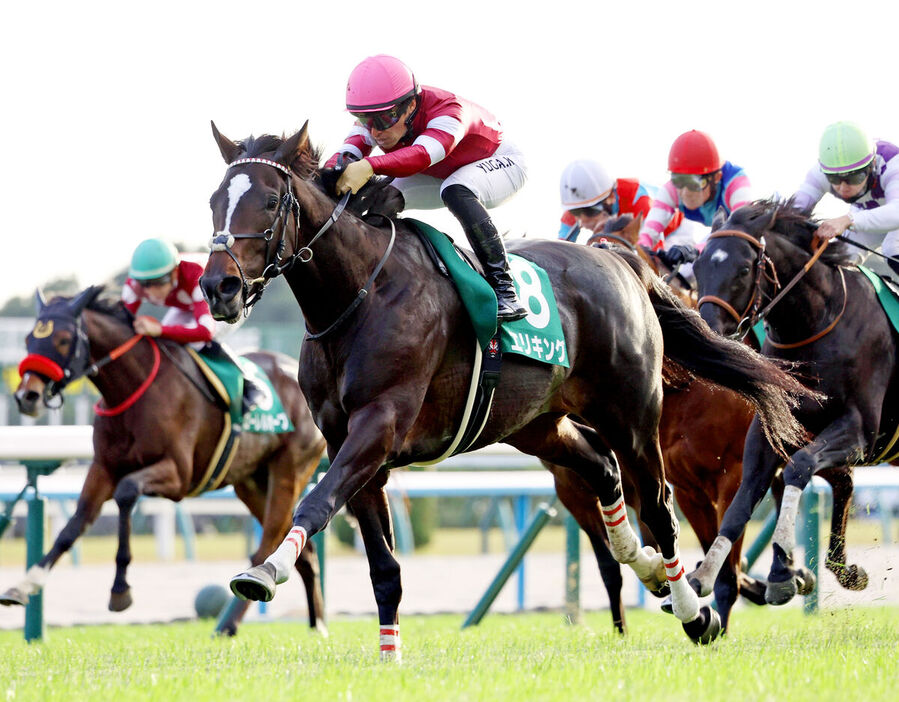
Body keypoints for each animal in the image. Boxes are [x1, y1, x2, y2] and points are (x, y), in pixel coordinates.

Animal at [3, 288, 326, 640]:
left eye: (62, 340)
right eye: (29, 338)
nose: (27, 396)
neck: (133, 389)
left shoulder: (177, 475)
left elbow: (127, 492)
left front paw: (120, 590)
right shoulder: (103, 469)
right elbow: (75, 523)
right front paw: (23, 585)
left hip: (289, 472)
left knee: (267, 543)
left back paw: (229, 623)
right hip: (252, 483)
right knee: (304, 552)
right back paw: (317, 625)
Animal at [200, 125, 812, 656]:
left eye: (271, 201)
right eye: (213, 201)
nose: (218, 287)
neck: (359, 295)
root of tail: (619, 261)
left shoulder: (379, 424)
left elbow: (318, 501)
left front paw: (264, 571)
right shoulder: (344, 439)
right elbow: (382, 565)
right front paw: (389, 656)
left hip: (633, 416)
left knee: (658, 508)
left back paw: (693, 613)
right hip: (539, 425)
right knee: (603, 471)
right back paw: (643, 565)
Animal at [688, 201, 892, 608]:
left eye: (744, 268)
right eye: (698, 265)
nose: (708, 333)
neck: (818, 324)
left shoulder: (861, 429)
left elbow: (800, 467)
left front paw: (782, 572)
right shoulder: (771, 429)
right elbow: (743, 499)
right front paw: (703, 576)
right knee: (843, 483)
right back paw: (842, 569)